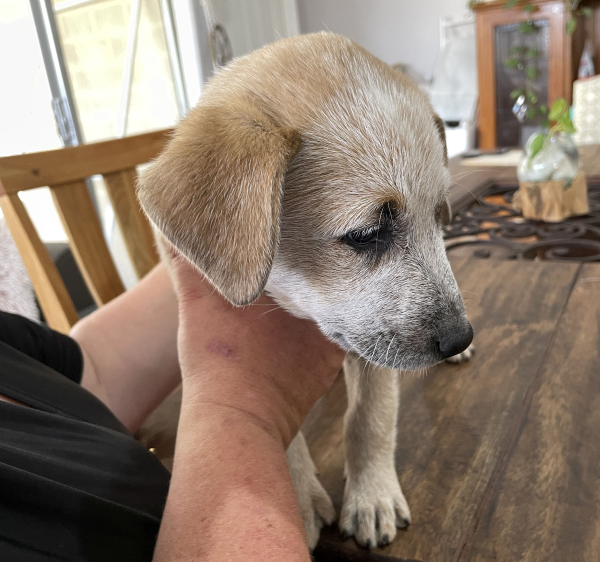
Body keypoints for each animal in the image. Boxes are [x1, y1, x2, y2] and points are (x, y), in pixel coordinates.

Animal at [137, 32, 474, 548]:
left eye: (440, 217)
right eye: (365, 234)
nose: (460, 337)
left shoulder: (371, 347)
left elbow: (370, 418)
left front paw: (372, 496)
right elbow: (280, 424)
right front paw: (297, 499)